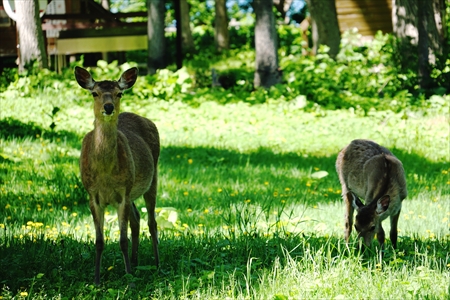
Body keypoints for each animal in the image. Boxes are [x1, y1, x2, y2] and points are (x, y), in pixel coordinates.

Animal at [73, 67, 158, 284]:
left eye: (119, 93)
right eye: (94, 93)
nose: (109, 107)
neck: (105, 176)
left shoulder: (123, 193)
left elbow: (122, 240)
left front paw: (128, 279)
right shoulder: (92, 195)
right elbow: (99, 241)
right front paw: (96, 280)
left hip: (152, 177)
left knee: (151, 221)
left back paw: (157, 264)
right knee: (136, 218)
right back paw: (136, 262)